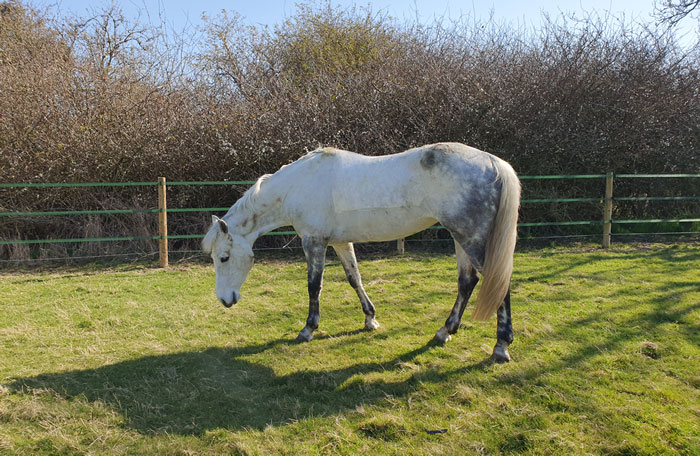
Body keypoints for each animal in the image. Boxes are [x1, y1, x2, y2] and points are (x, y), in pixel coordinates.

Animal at [202, 142, 520, 362]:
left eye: (224, 258)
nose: (225, 300)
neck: (299, 184)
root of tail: (494, 163)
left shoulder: (314, 242)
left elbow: (314, 286)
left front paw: (308, 329)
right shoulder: (340, 243)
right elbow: (354, 278)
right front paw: (370, 319)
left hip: (471, 238)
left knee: (497, 283)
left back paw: (501, 346)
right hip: (460, 237)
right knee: (467, 283)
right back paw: (444, 332)